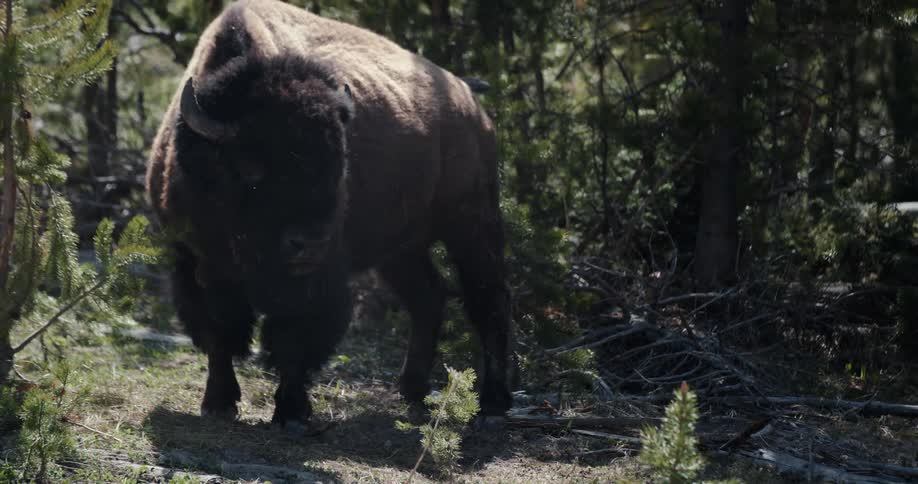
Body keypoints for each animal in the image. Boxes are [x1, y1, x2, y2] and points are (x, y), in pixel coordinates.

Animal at [146, 0, 512, 427]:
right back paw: (411, 390)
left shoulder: (317, 280)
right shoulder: (194, 262)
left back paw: (494, 400)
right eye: (251, 169)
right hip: (401, 248)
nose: (310, 242)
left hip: (470, 223)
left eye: (339, 162)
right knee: (428, 296)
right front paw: (218, 403)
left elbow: (294, 340)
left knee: (488, 298)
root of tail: (470, 102)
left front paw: (291, 411)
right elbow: (219, 332)